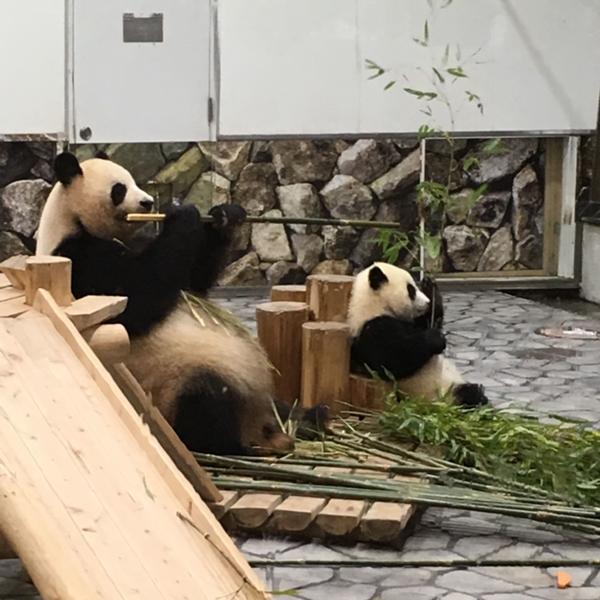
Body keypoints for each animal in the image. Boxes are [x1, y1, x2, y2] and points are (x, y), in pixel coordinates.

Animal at [36, 151, 328, 455]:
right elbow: (133, 301)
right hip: (178, 383)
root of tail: (259, 424)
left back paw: (312, 417)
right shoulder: (79, 262)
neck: (72, 221)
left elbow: (192, 281)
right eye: (120, 189)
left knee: (281, 408)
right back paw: (235, 446)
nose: (148, 203)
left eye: (133, 179)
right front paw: (183, 214)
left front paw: (225, 216)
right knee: (205, 400)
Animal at [347, 262, 487, 407]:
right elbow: (394, 359)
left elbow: (429, 320)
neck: (375, 306)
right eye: (411, 290)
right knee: (466, 395)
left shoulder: (413, 323)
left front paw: (430, 287)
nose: (427, 302)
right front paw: (437, 338)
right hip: (439, 395)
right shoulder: (373, 329)